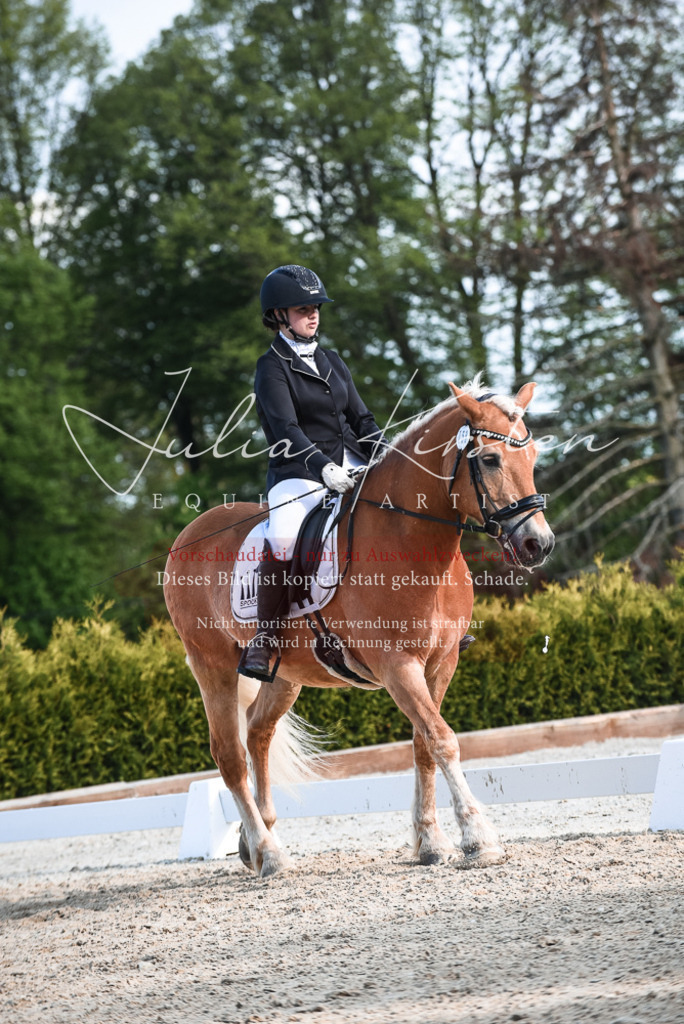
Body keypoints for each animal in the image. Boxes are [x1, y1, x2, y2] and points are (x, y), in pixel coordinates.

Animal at [164, 376, 555, 877]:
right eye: (489, 459)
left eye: (533, 457)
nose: (538, 544)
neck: (410, 541)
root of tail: (189, 533)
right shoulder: (397, 666)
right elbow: (442, 740)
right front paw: (478, 839)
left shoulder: (441, 663)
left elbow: (423, 745)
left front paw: (431, 843)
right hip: (210, 664)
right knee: (229, 755)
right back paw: (270, 854)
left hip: (285, 675)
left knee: (257, 734)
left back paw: (258, 844)